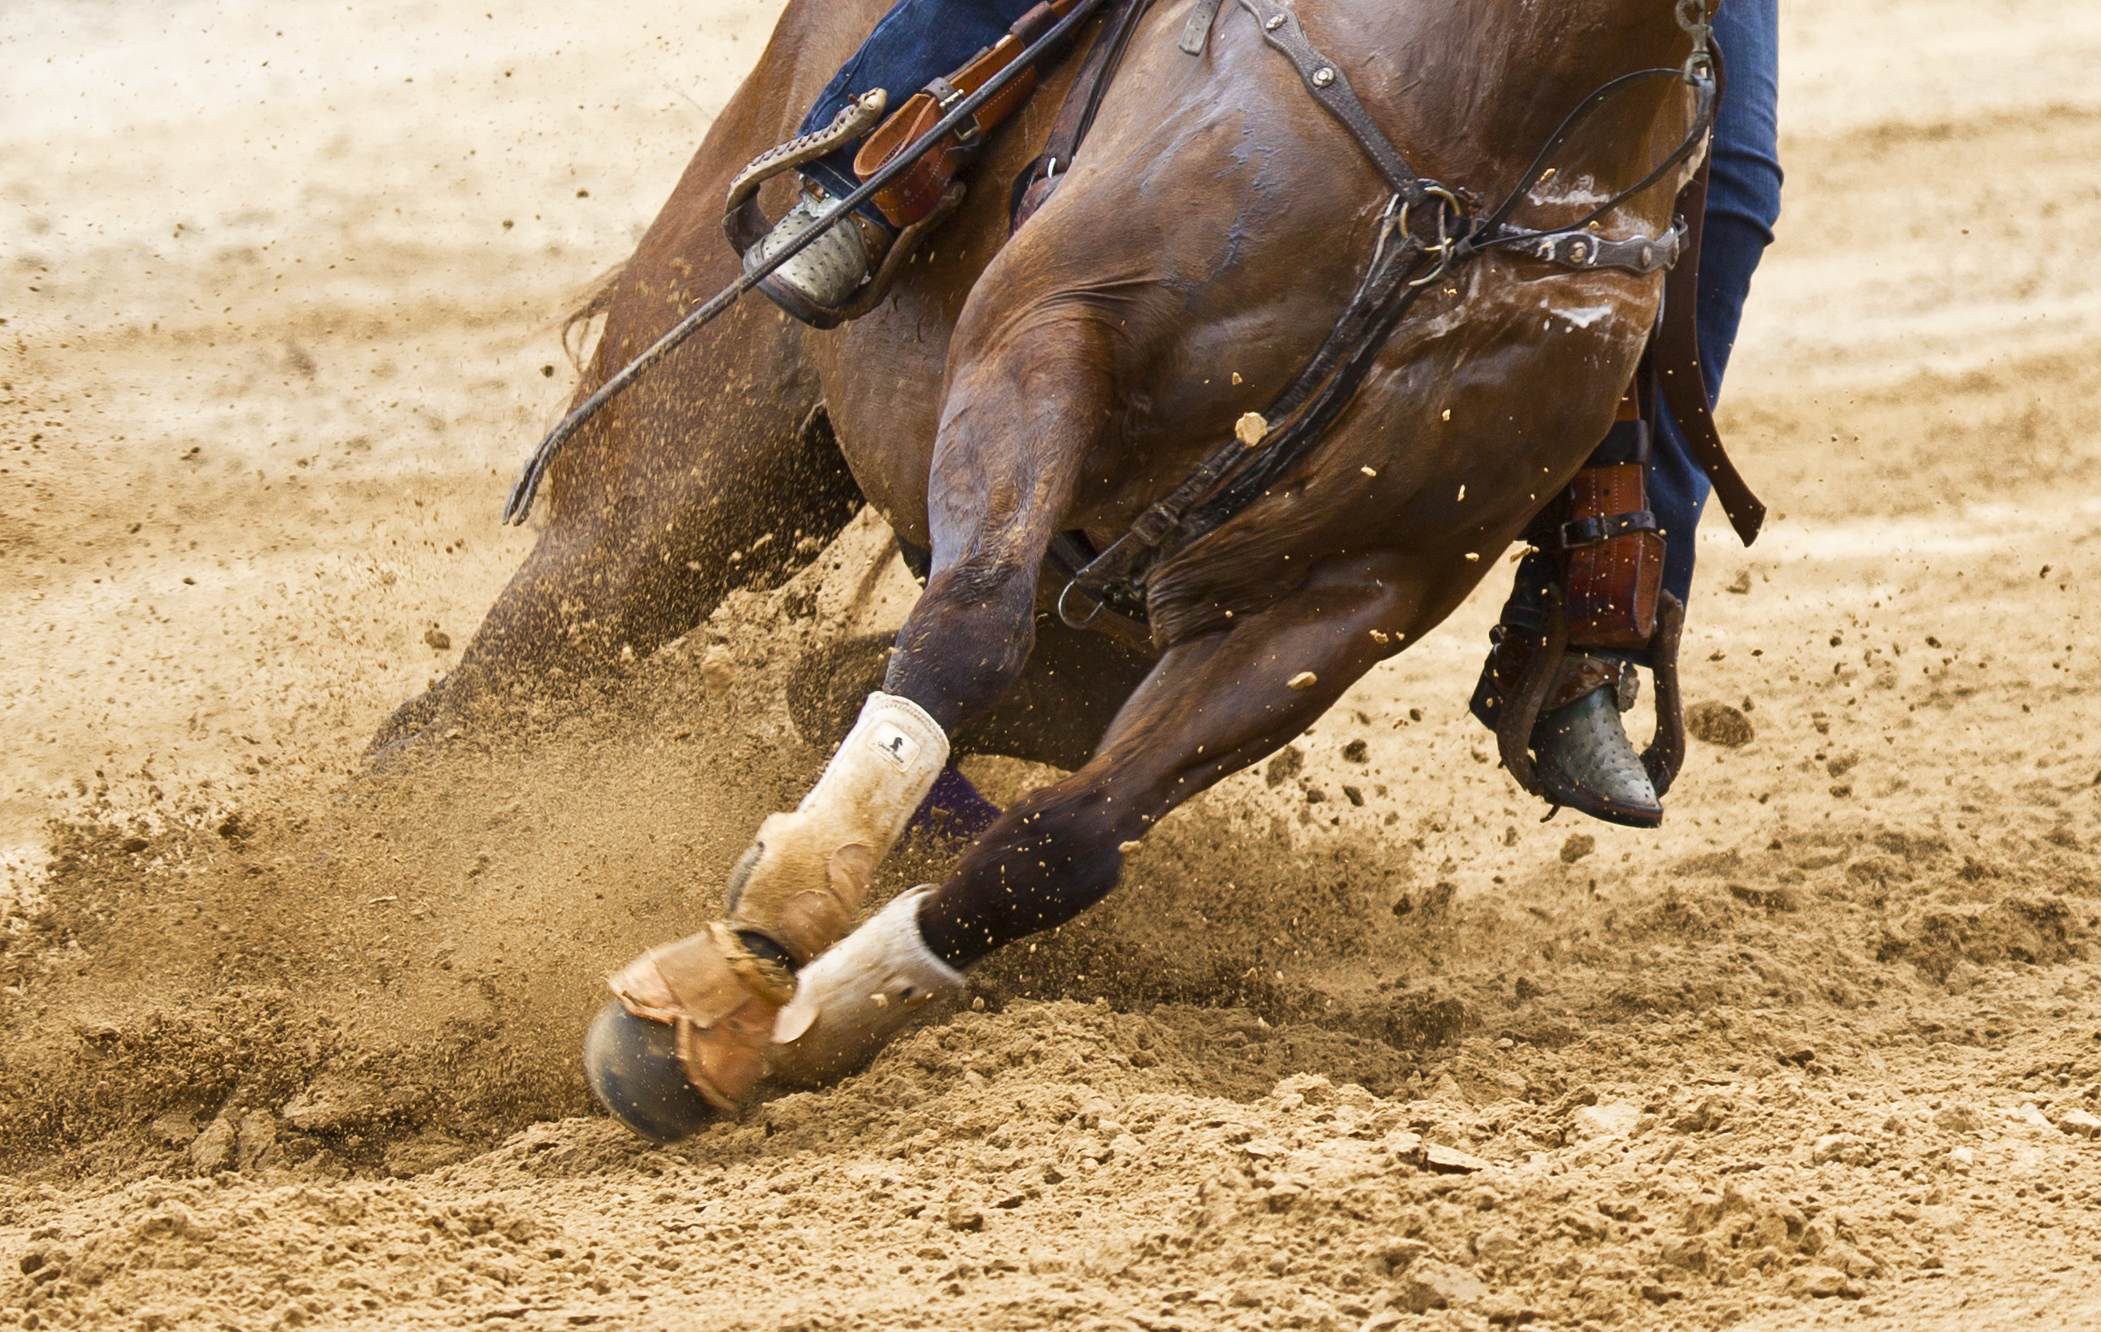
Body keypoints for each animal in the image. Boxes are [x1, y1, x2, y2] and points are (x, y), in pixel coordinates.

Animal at [386, 0, 1714, 1134]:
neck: (1487, 112)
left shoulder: (1357, 591)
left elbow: (1062, 845)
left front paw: (764, 1023)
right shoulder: (1048, 334)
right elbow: (971, 631)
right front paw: (761, 941)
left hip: (1082, 645)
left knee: (828, 684)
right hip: (674, 493)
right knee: (469, 710)